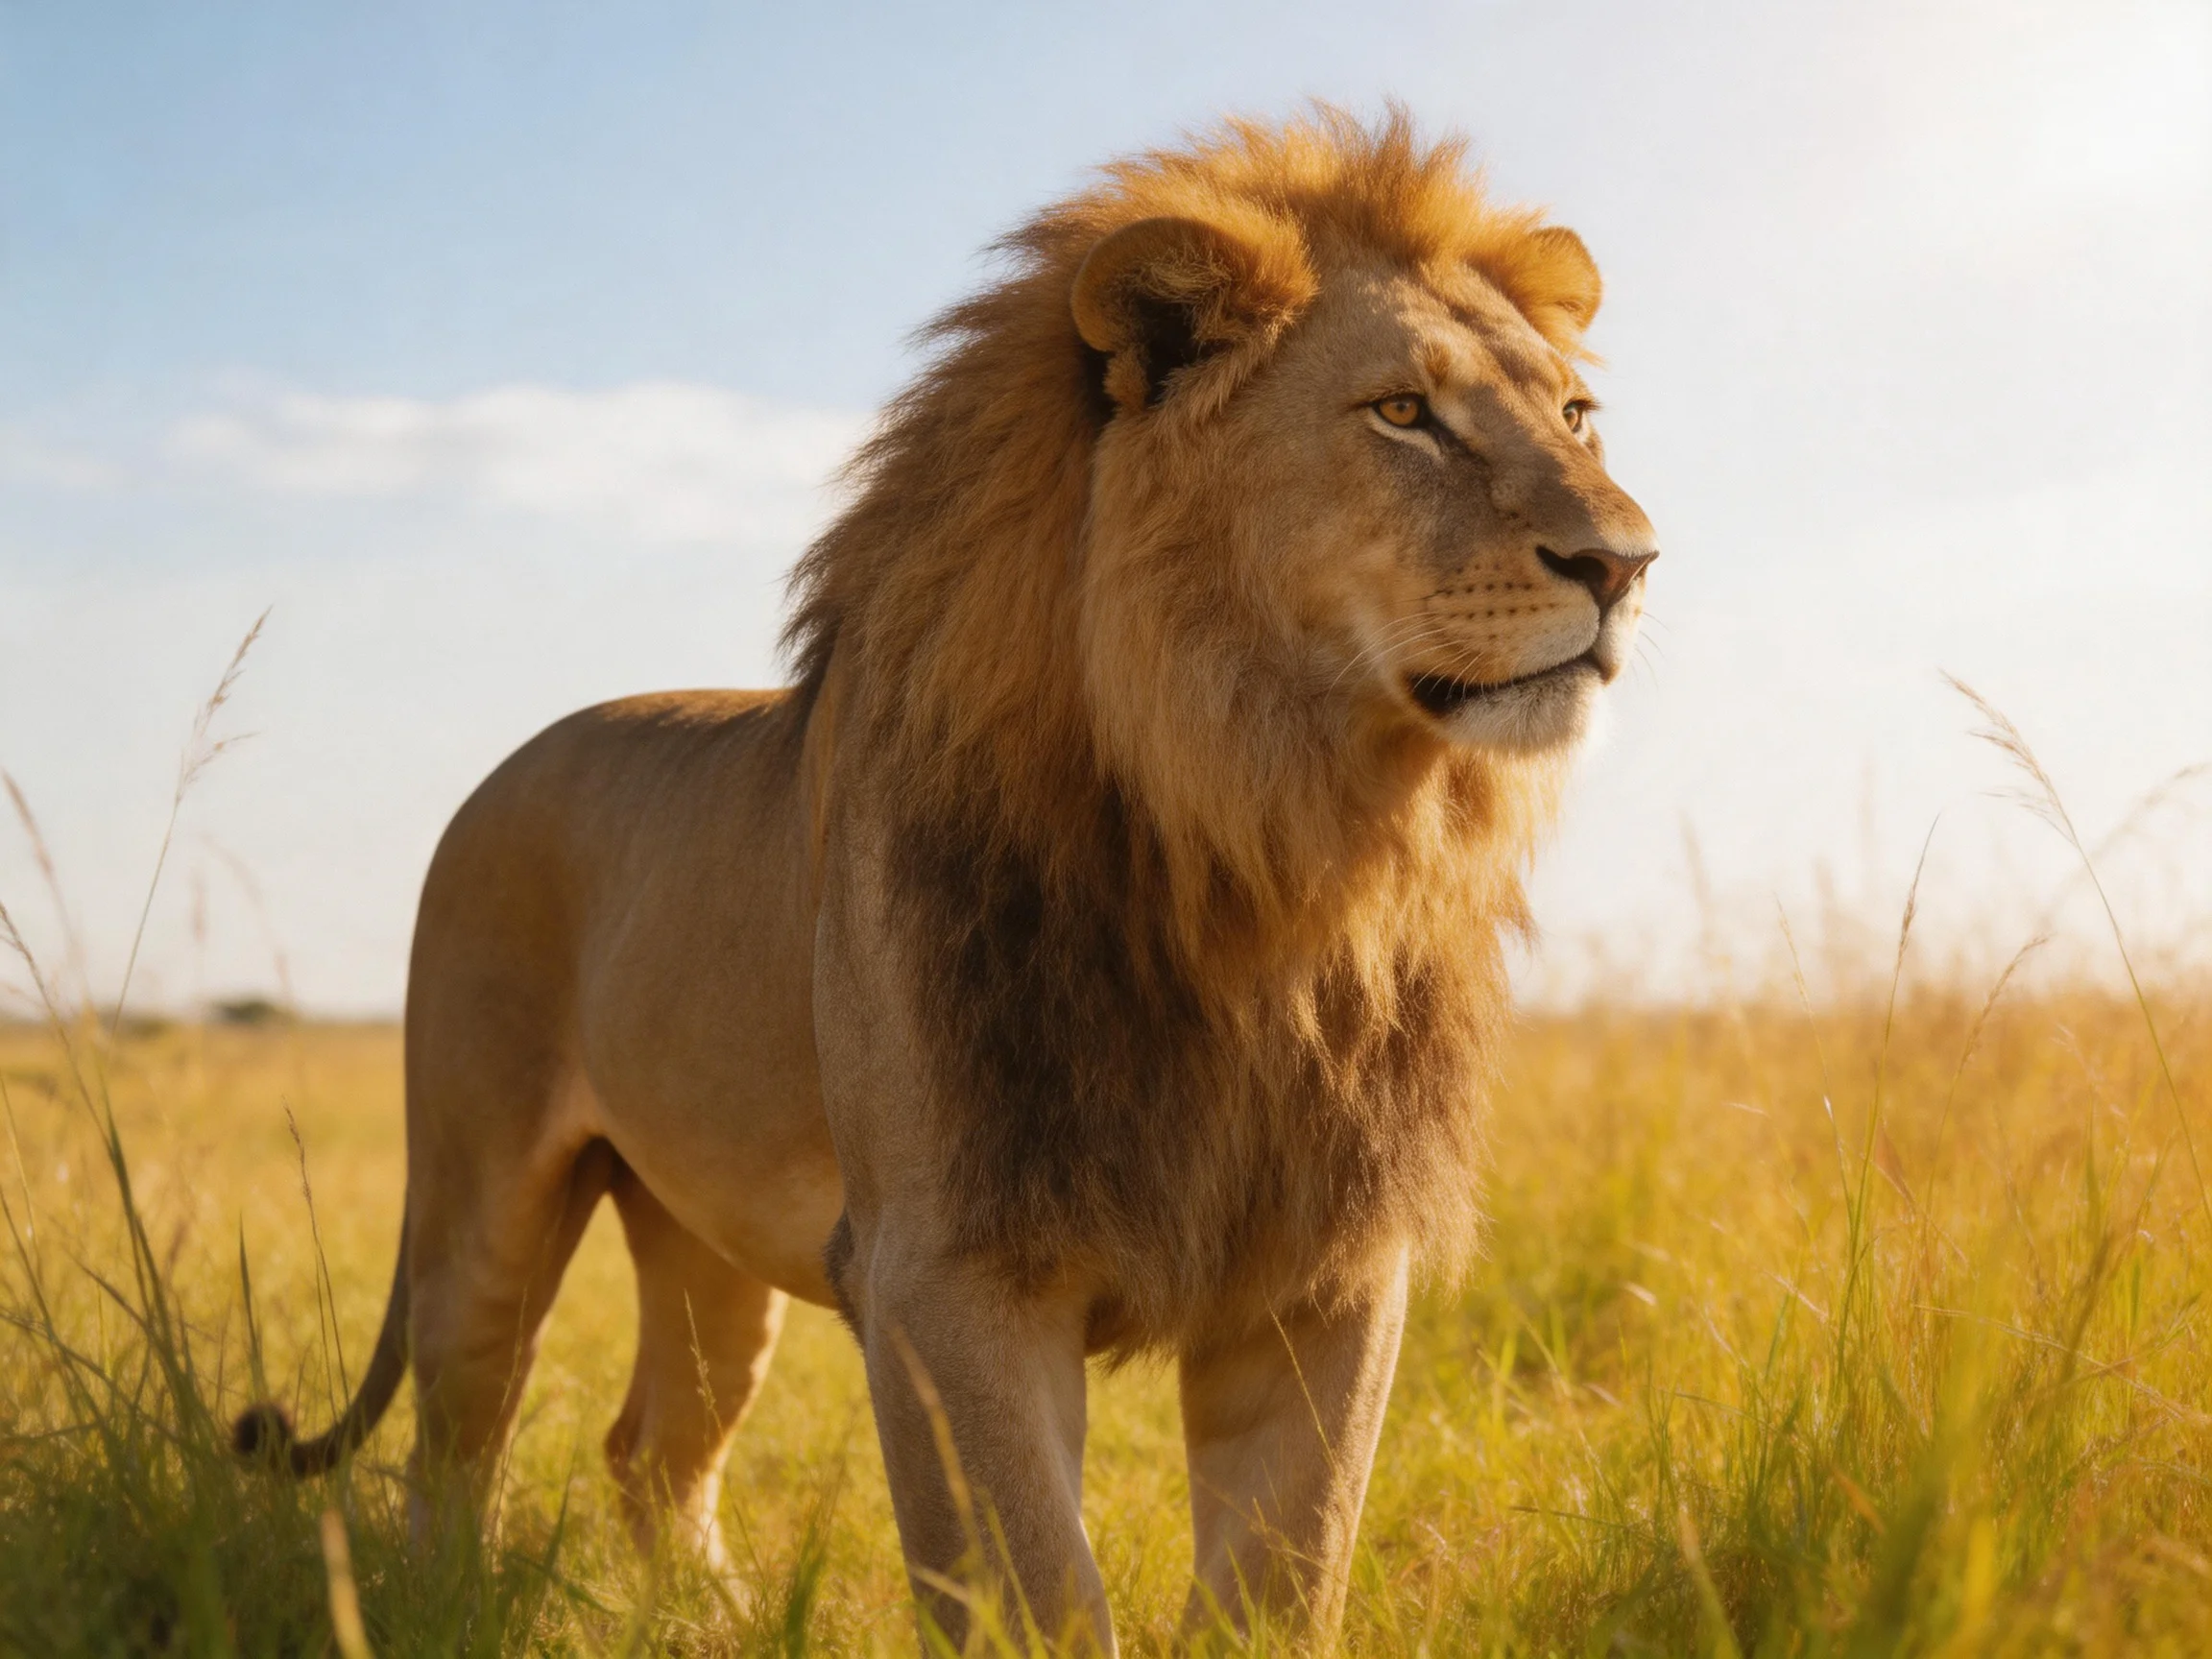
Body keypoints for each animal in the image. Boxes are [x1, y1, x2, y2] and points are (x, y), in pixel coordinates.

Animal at [236, 108, 1656, 1651]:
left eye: (1576, 416)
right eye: (1402, 414)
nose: (1627, 563)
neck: (1272, 845)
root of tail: (504, 765)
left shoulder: (1322, 1267)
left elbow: (1287, 1579)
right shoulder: (945, 1270)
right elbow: (1038, 1594)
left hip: (706, 1238)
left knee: (653, 1450)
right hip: (482, 1189)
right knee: (454, 1449)